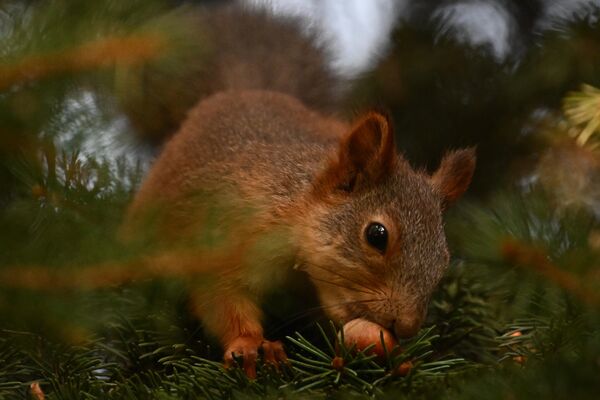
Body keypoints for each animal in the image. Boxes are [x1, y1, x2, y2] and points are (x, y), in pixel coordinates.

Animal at [122, 5, 476, 378]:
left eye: (444, 257)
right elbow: (220, 296)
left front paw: (398, 359)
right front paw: (250, 344)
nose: (406, 326)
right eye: (377, 235)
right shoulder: (222, 237)